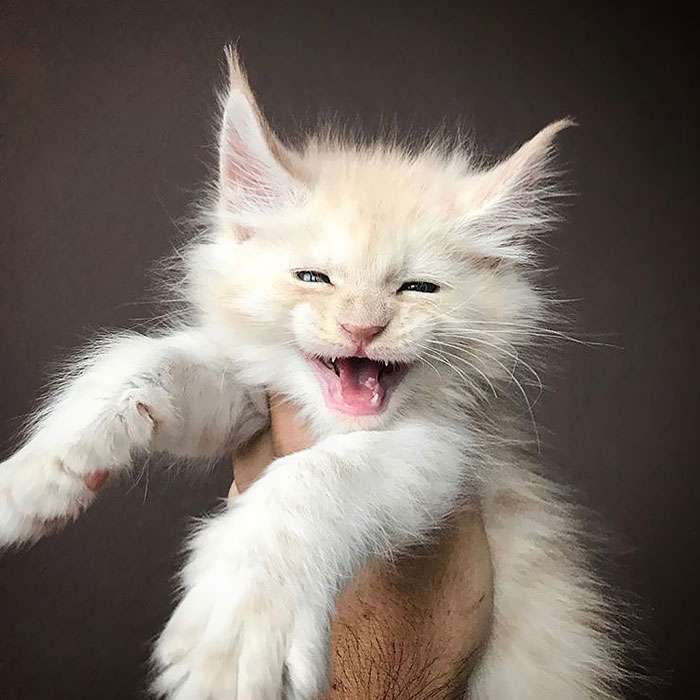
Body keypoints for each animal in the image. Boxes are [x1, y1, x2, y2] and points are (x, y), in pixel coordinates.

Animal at [0, 50, 624, 700]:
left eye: (418, 288)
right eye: (313, 279)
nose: (362, 328)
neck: (333, 422)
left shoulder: (450, 453)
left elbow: (319, 476)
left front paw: (241, 620)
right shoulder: (256, 400)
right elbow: (142, 359)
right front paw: (38, 472)